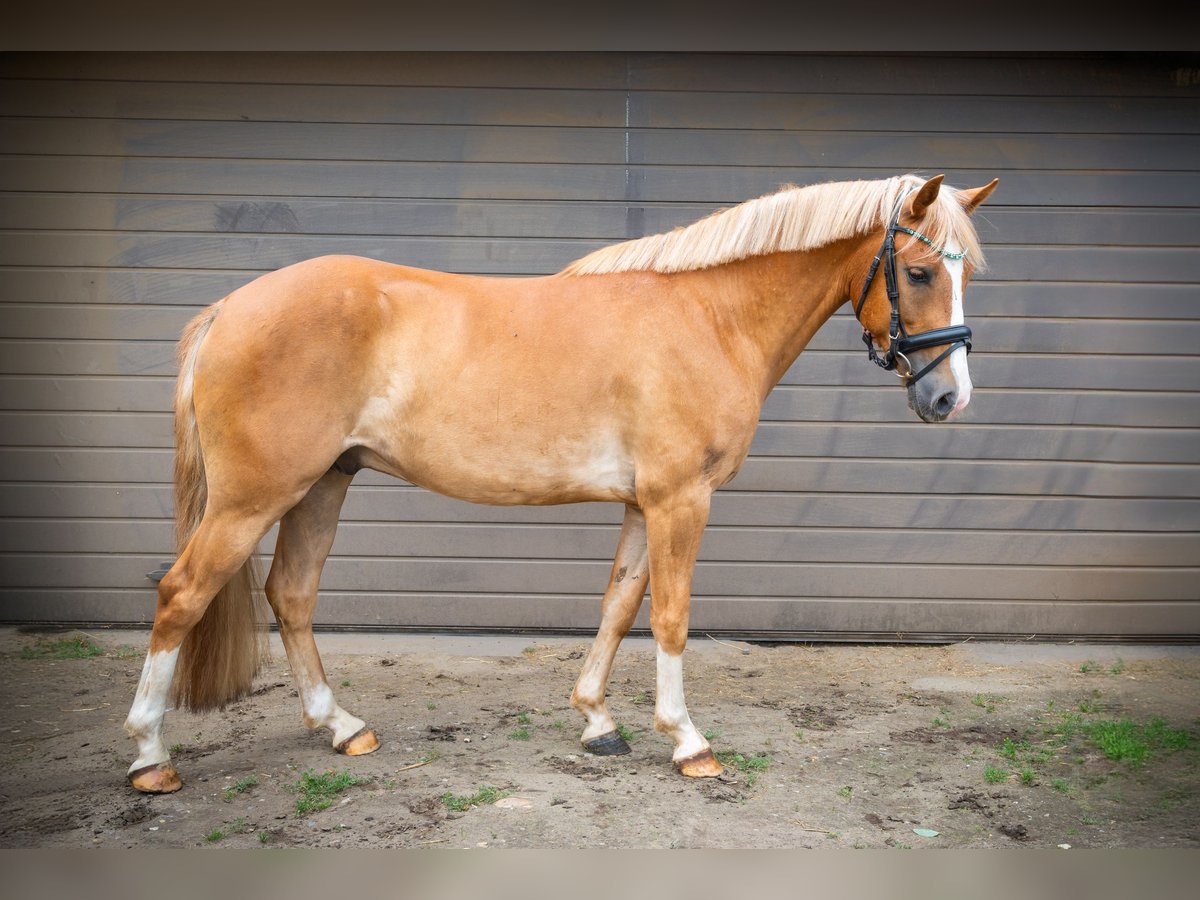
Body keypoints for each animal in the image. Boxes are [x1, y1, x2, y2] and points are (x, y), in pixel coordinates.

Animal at [126, 172, 998, 792]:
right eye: (921, 271)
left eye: (966, 275)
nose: (949, 398)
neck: (708, 315)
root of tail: (229, 308)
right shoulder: (682, 499)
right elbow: (672, 616)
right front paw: (688, 742)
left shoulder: (645, 504)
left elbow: (618, 605)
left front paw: (596, 721)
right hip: (255, 498)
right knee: (182, 594)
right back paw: (149, 757)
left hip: (323, 485)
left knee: (293, 595)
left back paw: (341, 727)